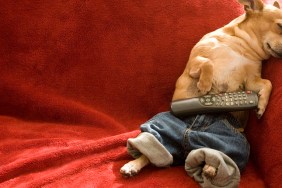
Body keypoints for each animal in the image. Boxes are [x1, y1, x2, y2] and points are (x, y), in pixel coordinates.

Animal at [120, 0, 280, 185]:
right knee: (153, 146)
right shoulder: (195, 63)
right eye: (280, 26)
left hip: (231, 139)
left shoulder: (252, 80)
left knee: (220, 151)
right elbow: (207, 63)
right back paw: (133, 165)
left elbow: (268, 83)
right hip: (163, 124)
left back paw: (210, 167)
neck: (243, 47)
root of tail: (185, 152)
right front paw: (204, 85)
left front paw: (261, 105)